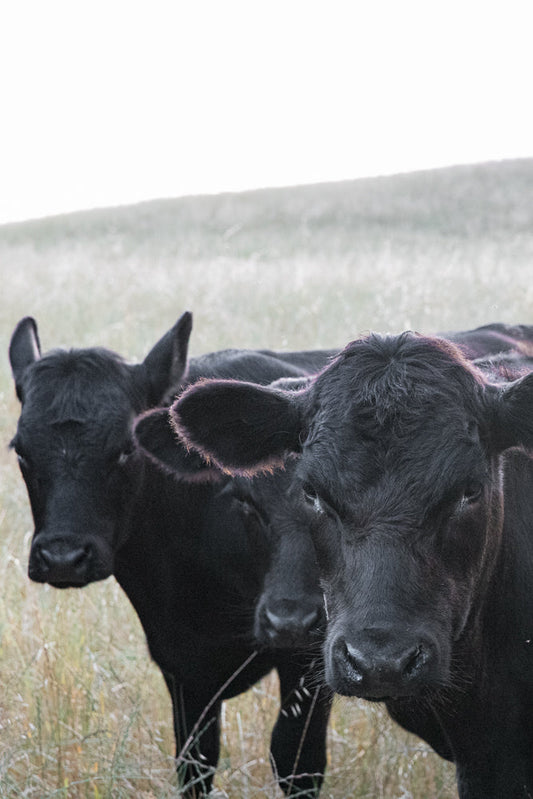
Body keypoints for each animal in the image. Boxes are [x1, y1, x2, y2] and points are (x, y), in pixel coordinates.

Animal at [8, 313, 334, 798]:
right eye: (21, 452)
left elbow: (296, 762)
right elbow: (194, 764)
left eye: (126, 450)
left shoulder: (310, 658)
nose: (63, 557)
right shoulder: (181, 668)